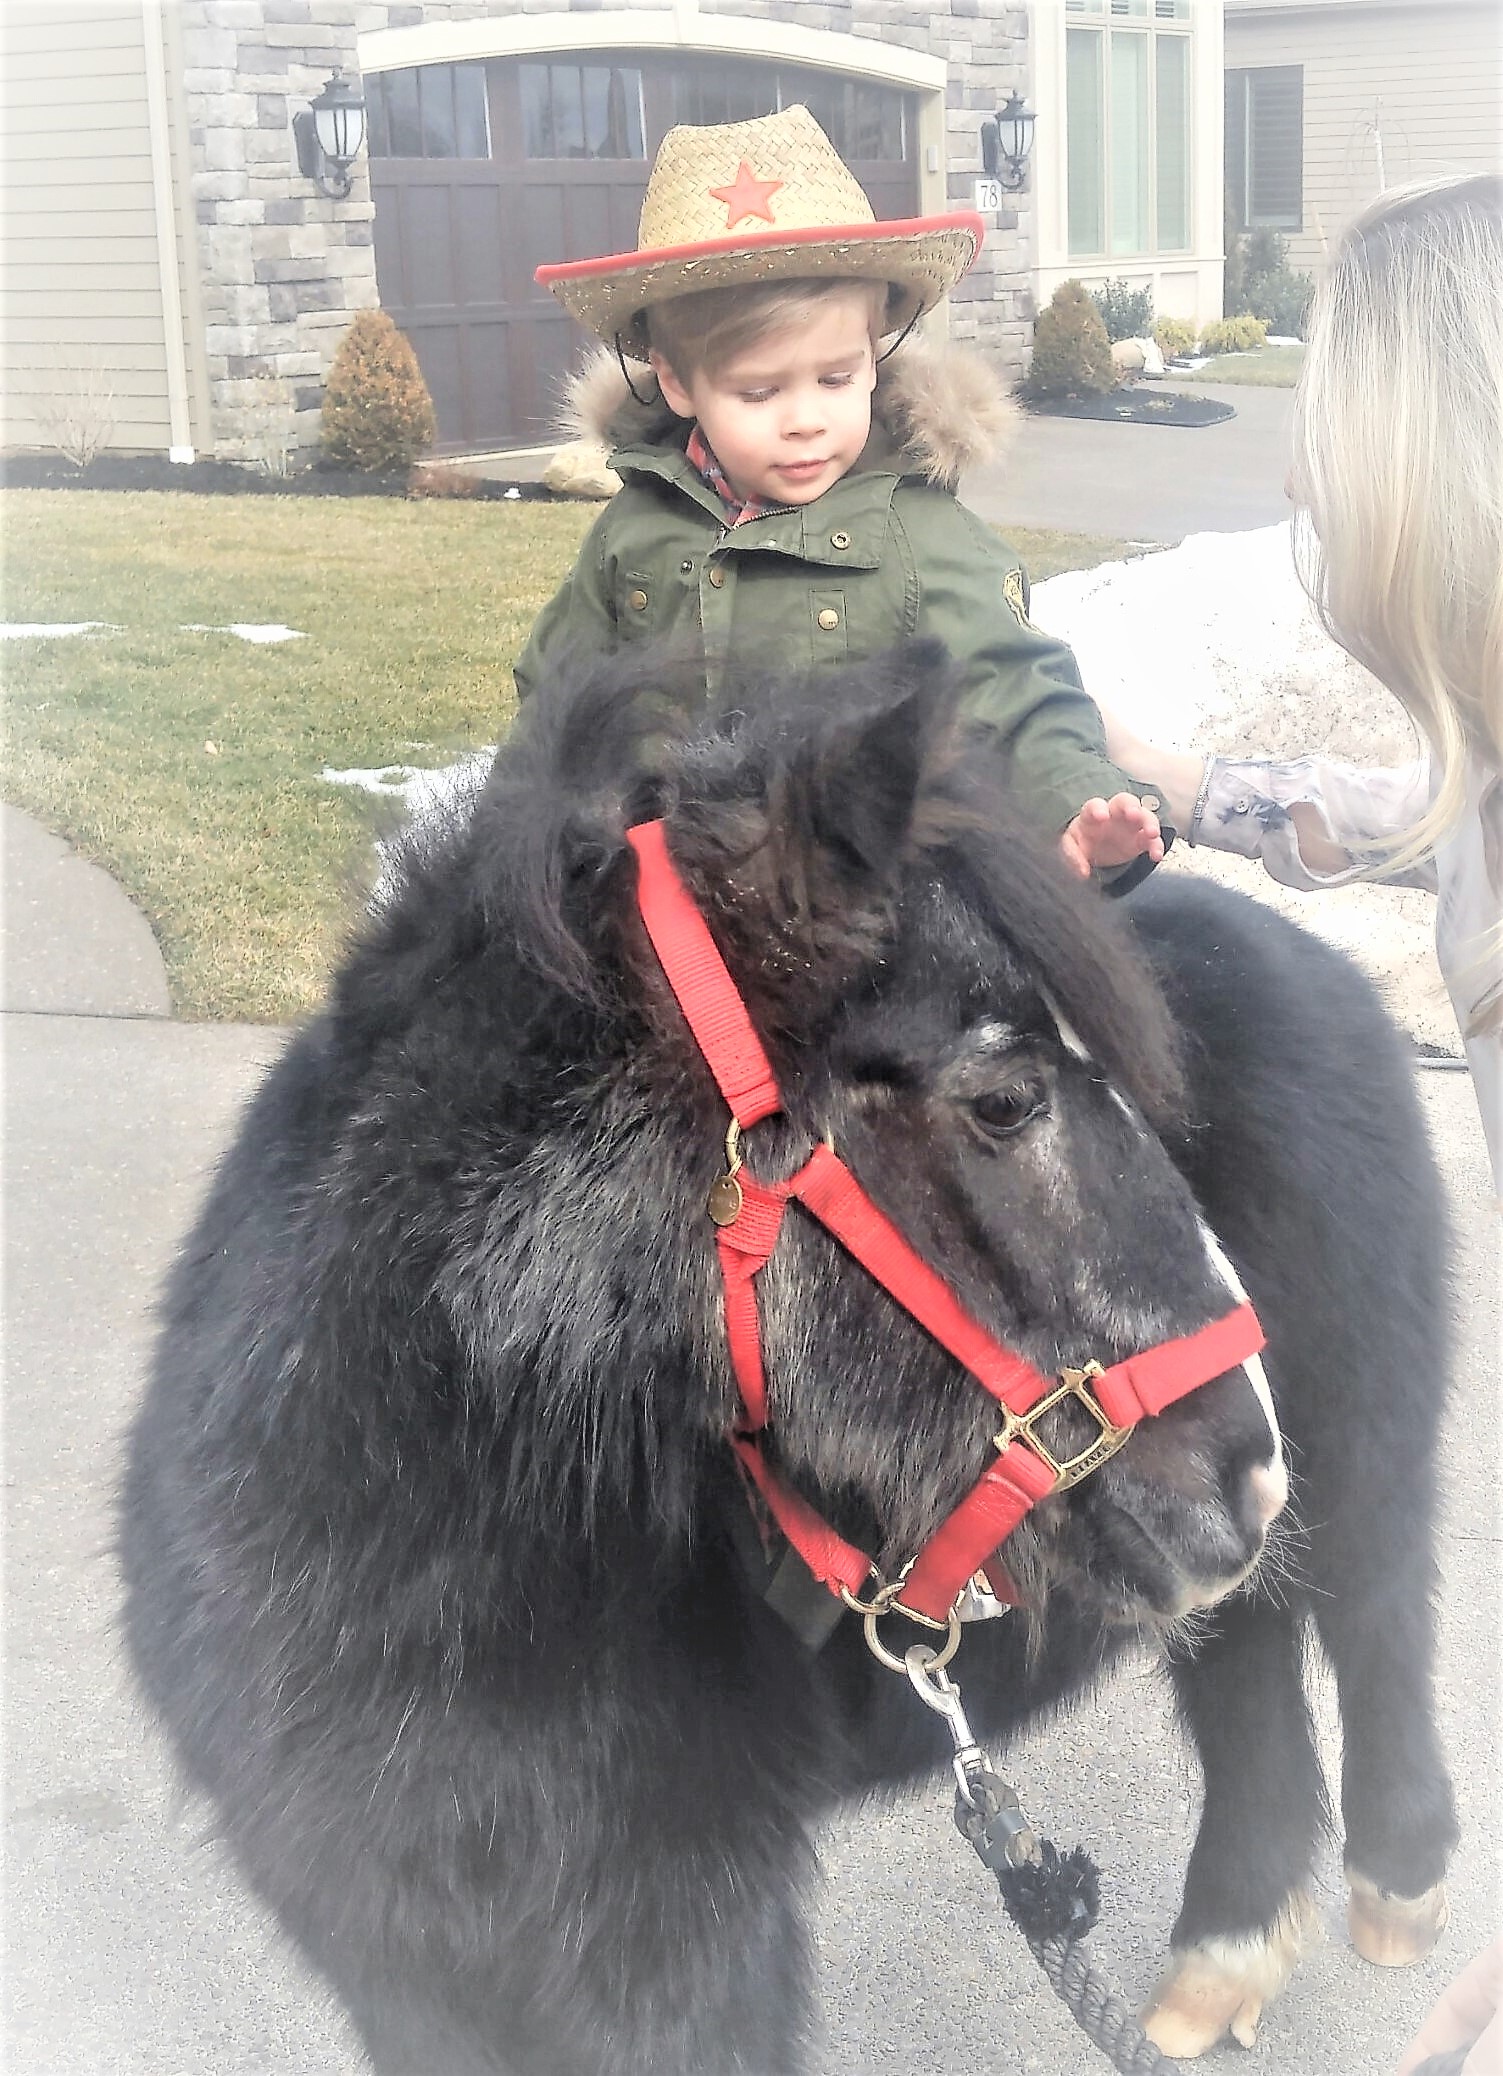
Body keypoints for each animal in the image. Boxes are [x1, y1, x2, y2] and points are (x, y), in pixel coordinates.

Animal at [120, 643, 1457, 2073]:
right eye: (1004, 1101)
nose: (1244, 1468)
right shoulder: (403, 1969)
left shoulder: (682, 1961)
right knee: (1250, 1668)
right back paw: (1225, 1958)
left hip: (1358, 1470)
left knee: (1377, 1623)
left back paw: (1397, 1890)